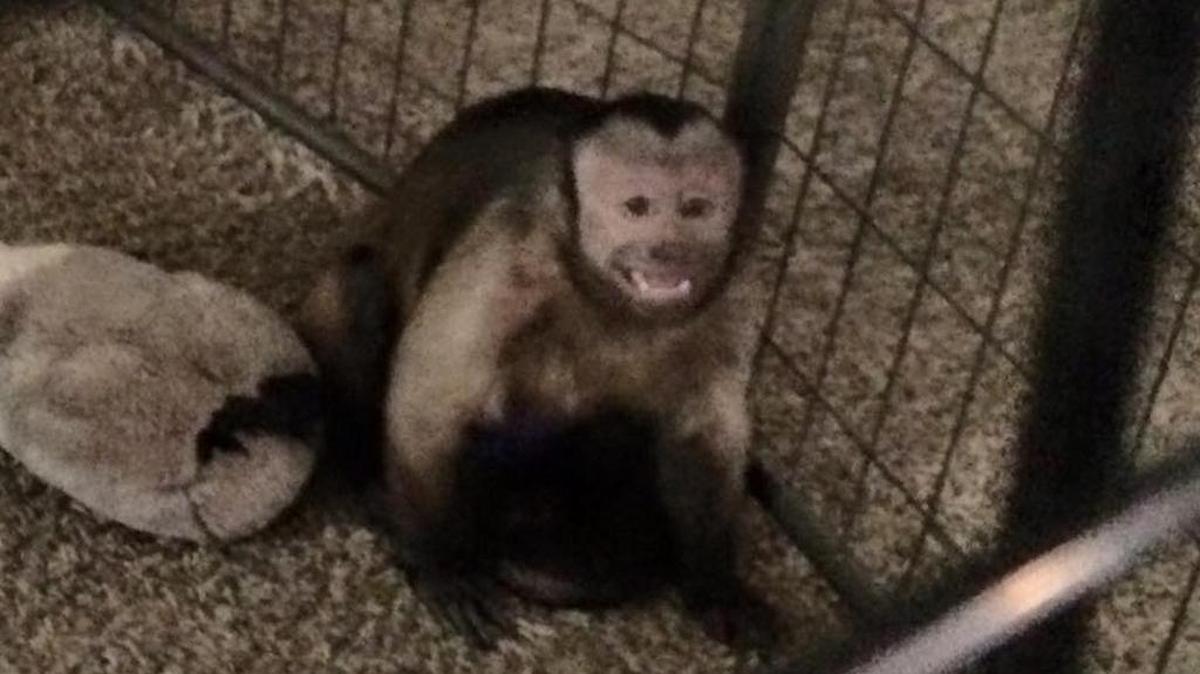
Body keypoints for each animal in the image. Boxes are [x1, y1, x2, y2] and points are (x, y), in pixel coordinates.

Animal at [298, 87, 776, 650]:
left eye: (696, 208)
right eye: (637, 207)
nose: (668, 251)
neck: (609, 300)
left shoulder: (733, 291)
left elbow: (702, 438)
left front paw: (716, 585)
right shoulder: (506, 260)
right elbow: (431, 402)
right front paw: (444, 563)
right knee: (361, 288)